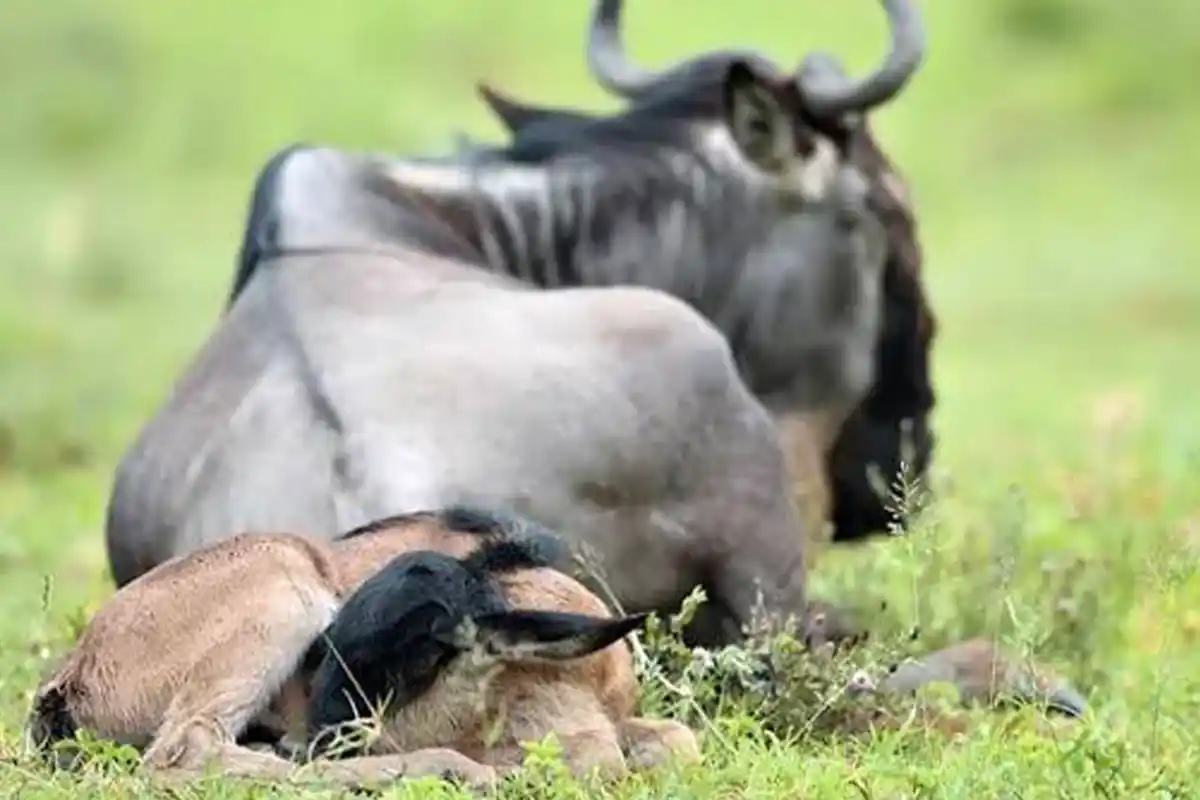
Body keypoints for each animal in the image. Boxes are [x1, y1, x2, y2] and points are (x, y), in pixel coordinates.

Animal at [28, 507, 700, 788]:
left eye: (409, 662)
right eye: (325, 652)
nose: (307, 734)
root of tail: (65, 683)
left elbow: (676, 740)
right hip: (282, 588)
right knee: (186, 752)